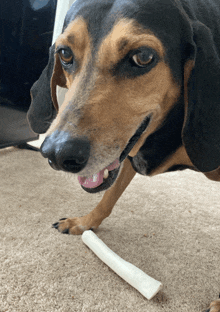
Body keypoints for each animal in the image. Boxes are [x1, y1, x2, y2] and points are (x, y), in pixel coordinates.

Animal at [27, 1, 220, 310]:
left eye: (143, 57)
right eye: (65, 53)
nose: (56, 154)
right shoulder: (128, 155)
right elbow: (108, 195)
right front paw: (84, 223)